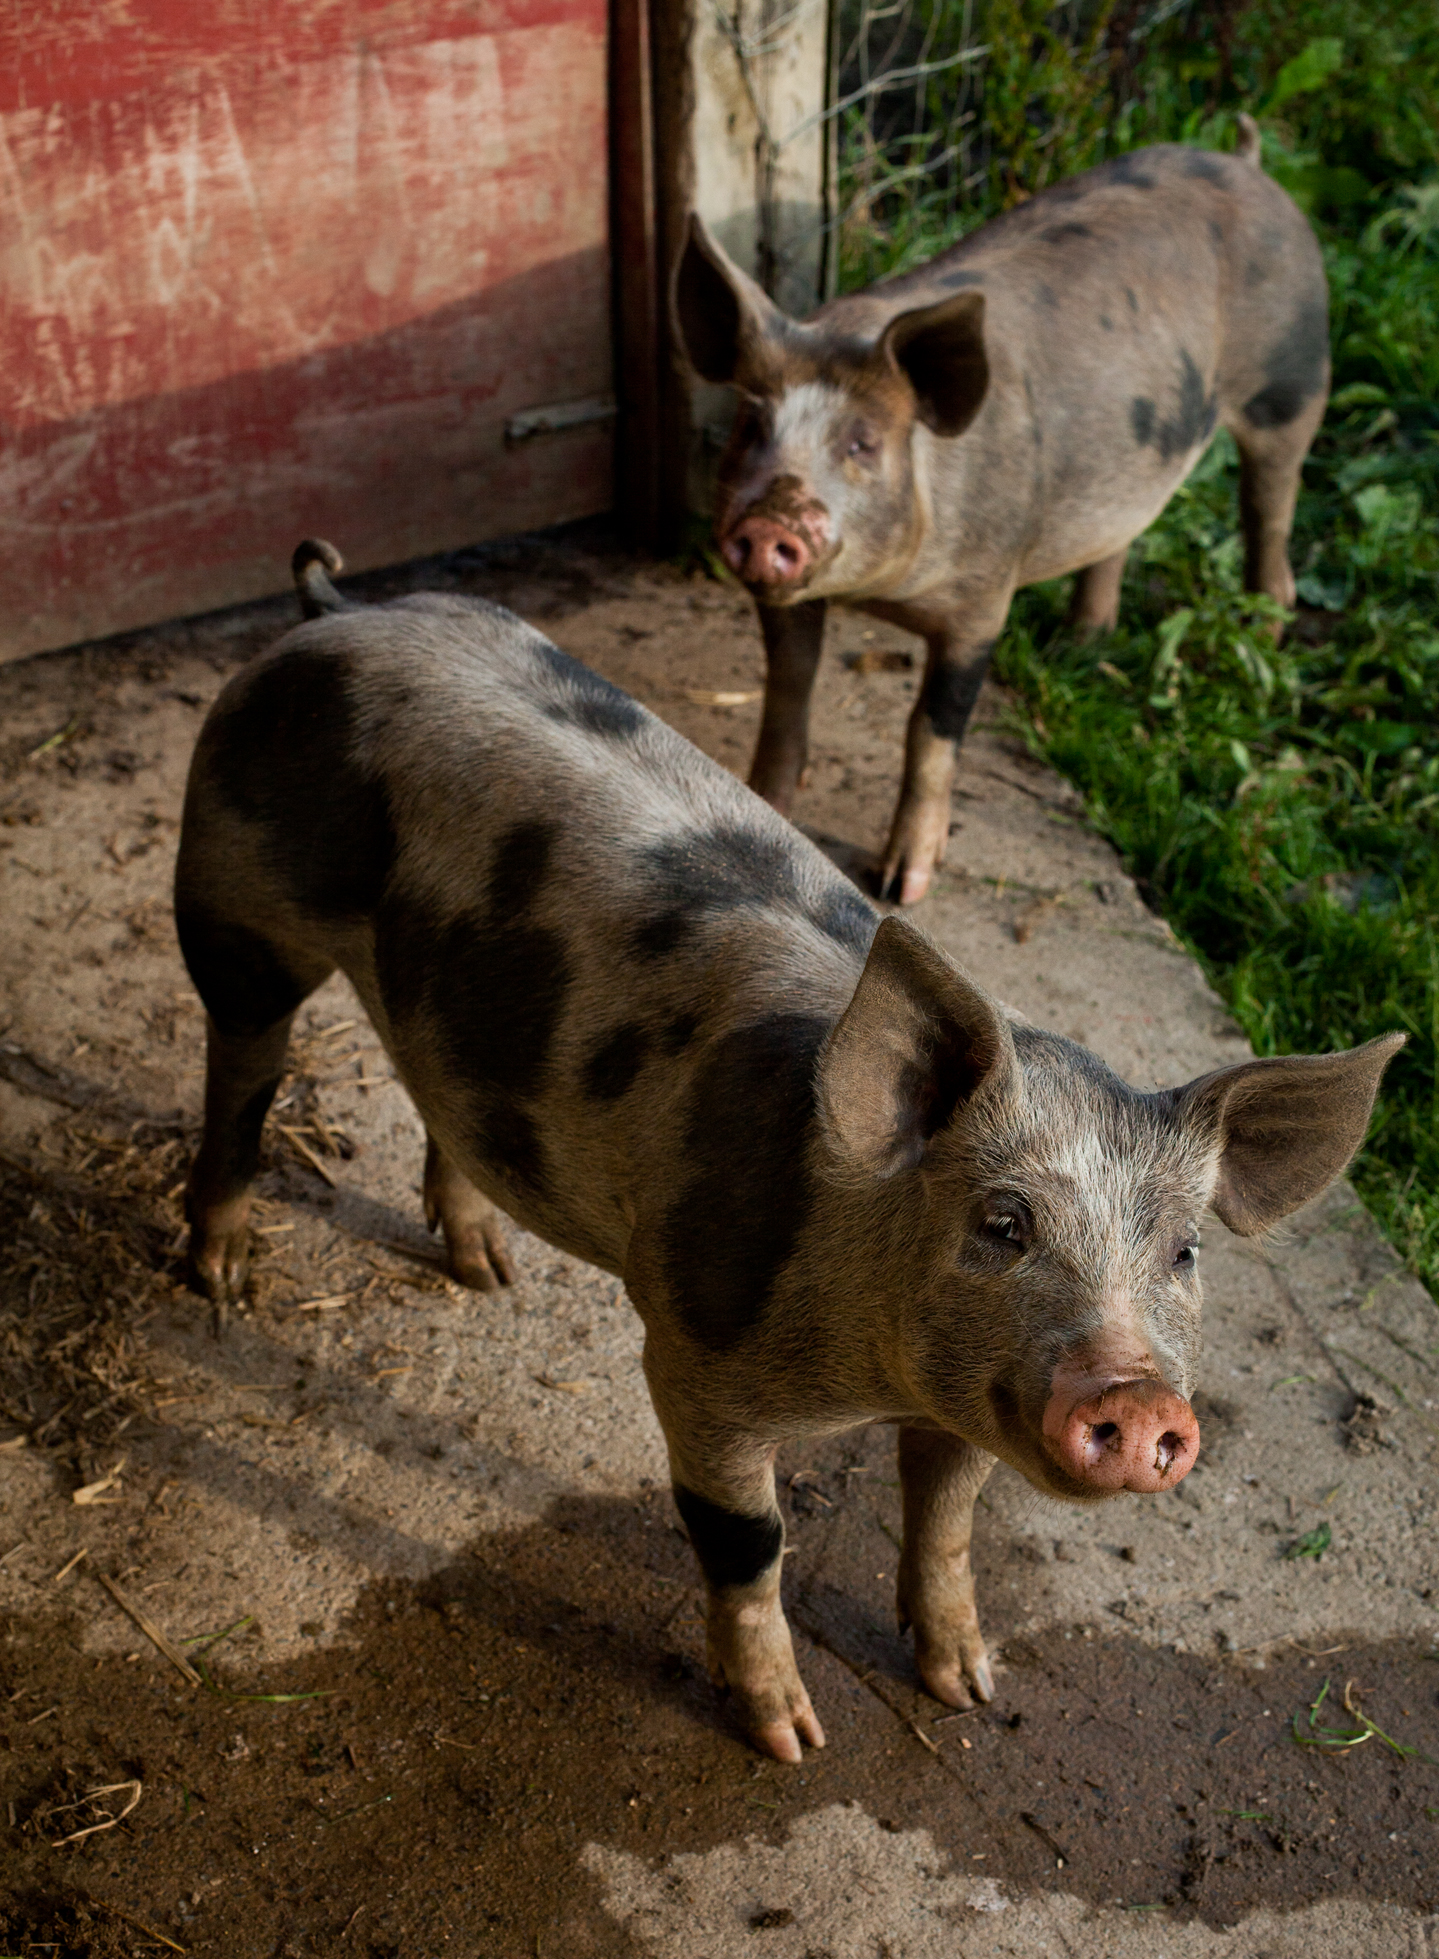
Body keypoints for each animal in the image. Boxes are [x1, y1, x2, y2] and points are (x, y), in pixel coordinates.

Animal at [174, 548, 1401, 1763]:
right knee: (239, 1069)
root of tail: (333, 614)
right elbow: (747, 1540)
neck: (859, 1368)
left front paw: (965, 1687)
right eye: (1001, 1224)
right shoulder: (690, 1358)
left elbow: (946, 1520)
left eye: (1185, 1252)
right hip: (233, 900)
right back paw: (219, 1279)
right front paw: (789, 1741)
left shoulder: (971, 1396)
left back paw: (486, 1272)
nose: (1138, 1396)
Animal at [673, 124, 1331, 908]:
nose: (770, 521)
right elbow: (787, 694)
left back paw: (1264, 633)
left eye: (861, 442)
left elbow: (929, 732)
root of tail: (1250, 166)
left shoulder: (982, 602)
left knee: (1270, 514)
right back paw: (1079, 646)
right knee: (1121, 533)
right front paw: (767, 803)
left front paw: (898, 887)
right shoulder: (791, 602)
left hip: (1292, 387)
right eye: (752, 426)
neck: (880, 595)